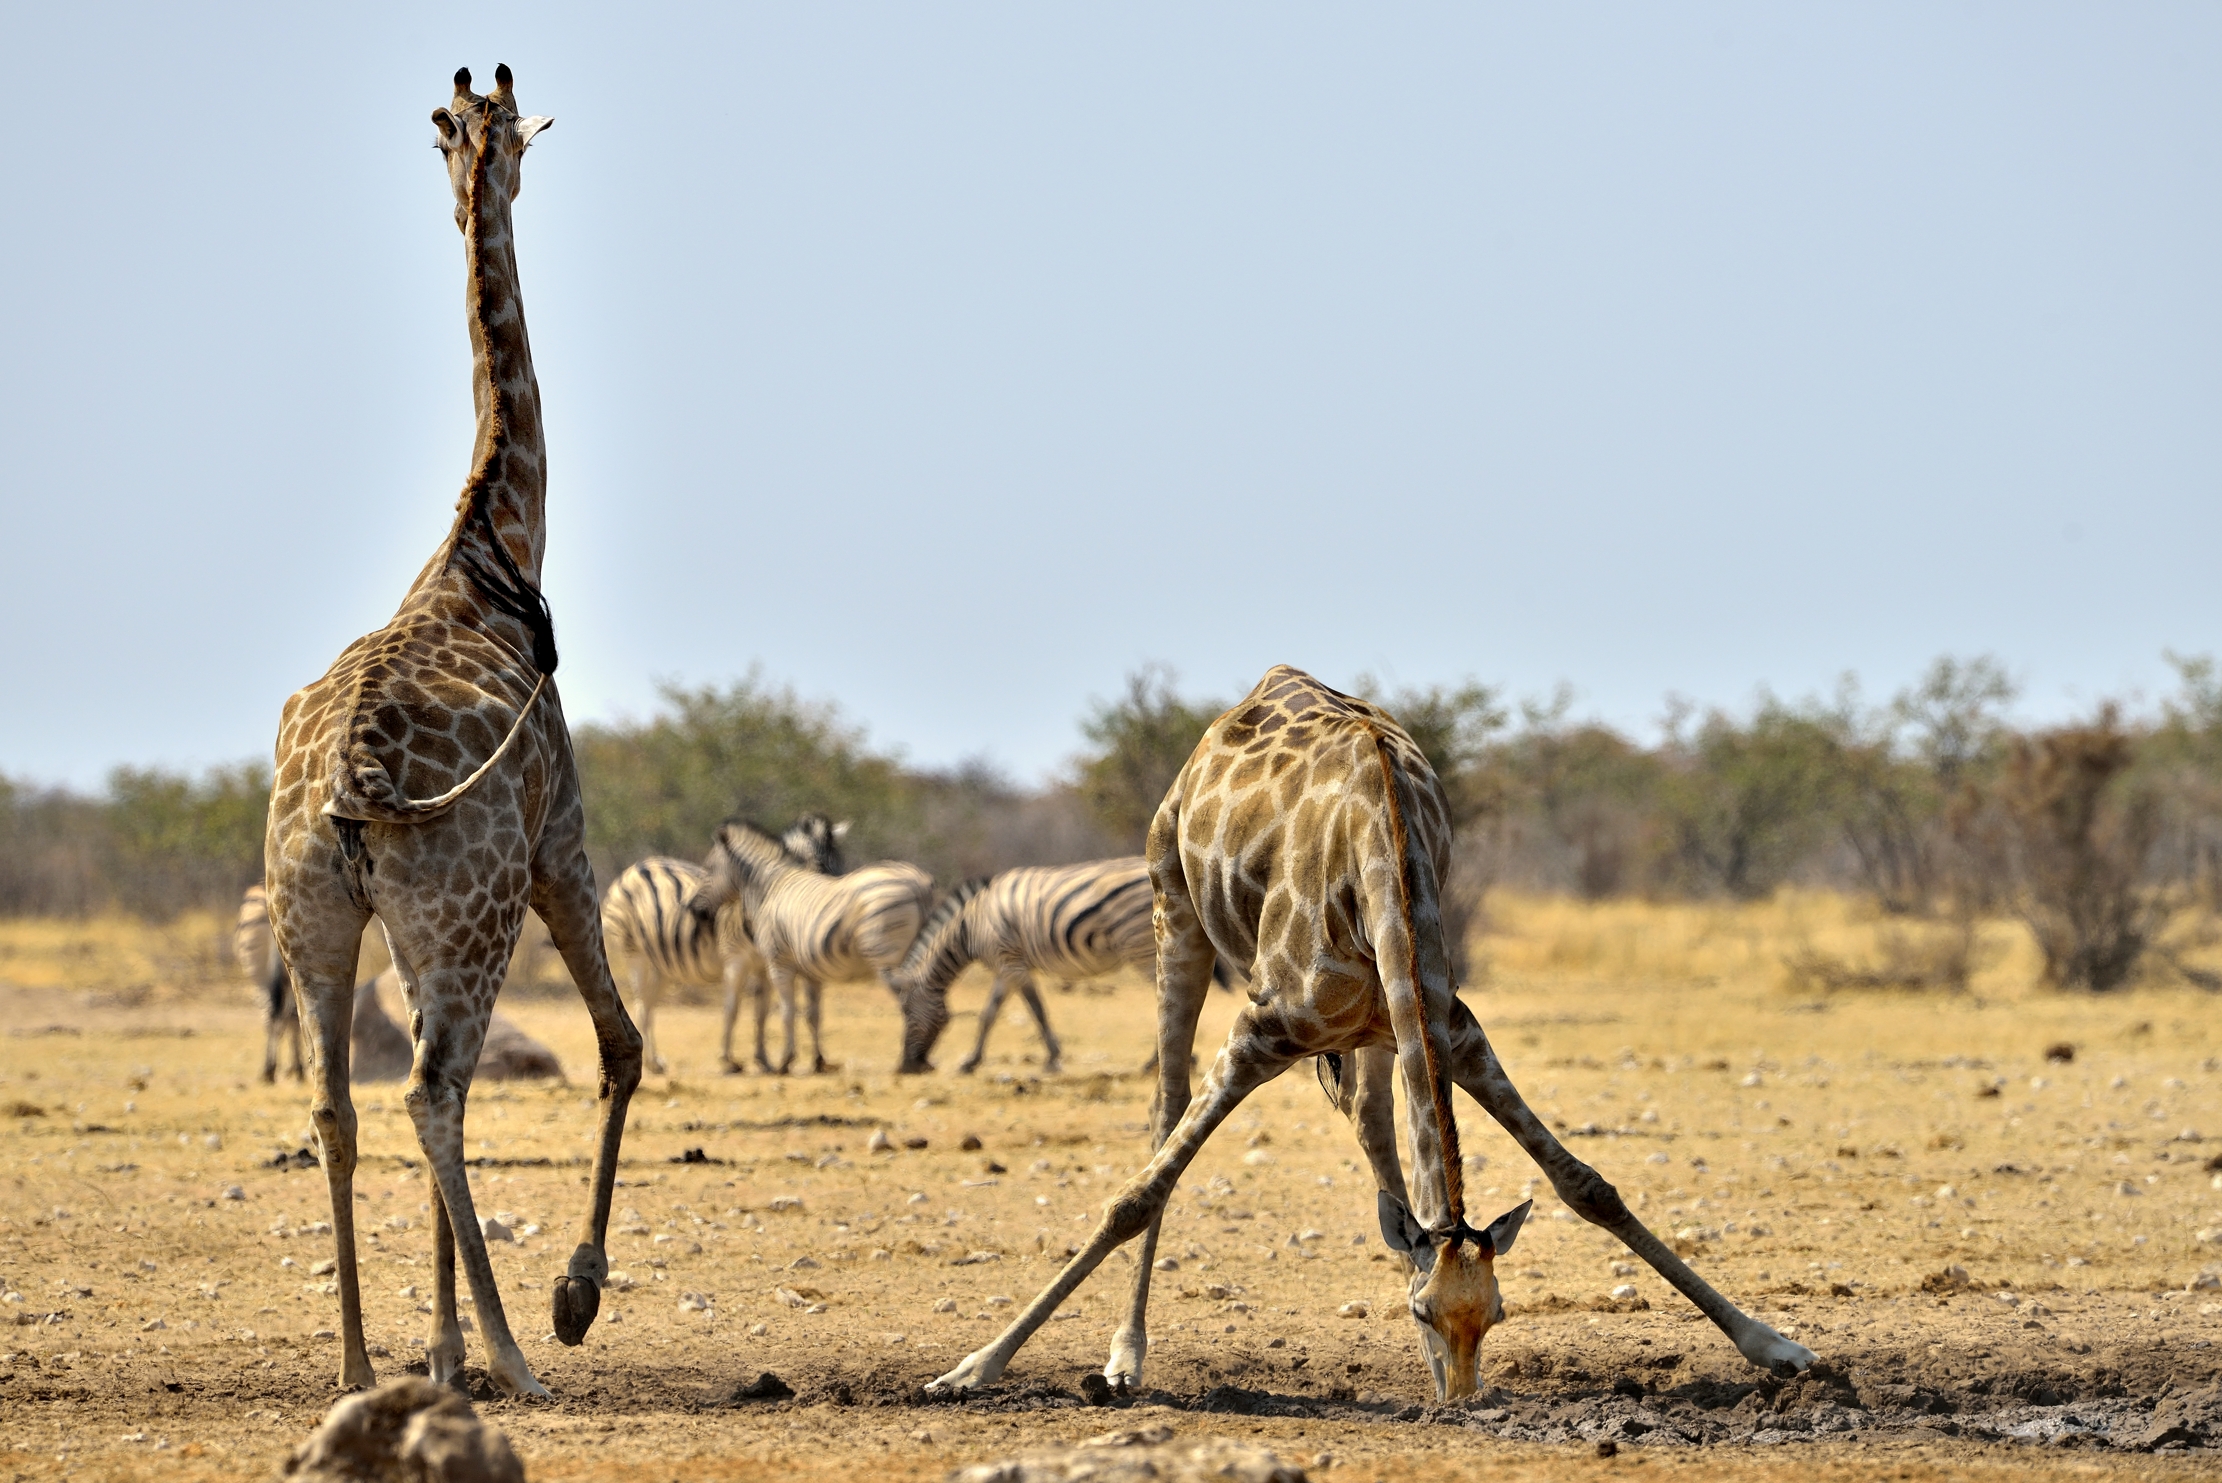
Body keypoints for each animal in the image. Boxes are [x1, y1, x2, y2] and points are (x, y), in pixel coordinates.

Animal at [262, 65, 641, 1398]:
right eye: (516, 140)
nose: (499, 158)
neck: (494, 544)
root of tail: (354, 770)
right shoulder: (560, 847)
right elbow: (623, 1045)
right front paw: (568, 1299)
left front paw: (436, 1352)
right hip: (471, 913)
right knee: (433, 1094)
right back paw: (521, 1354)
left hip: (319, 918)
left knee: (341, 1103)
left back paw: (359, 1361)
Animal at [929, 665, 1814, 1402]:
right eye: (1423, 1312)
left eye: (1495, 1314)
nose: (1461, 1399)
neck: (1380, 861)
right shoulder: (1258, 1029)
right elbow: (1136, 1196)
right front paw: (972, 1367)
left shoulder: (1451, 1027)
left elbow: (1587, 1183)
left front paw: (1777, 1345)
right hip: (1170, 909)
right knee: (1166, 1109)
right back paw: (1123, 1355)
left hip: (1376, 1028)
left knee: (1374, 1129)